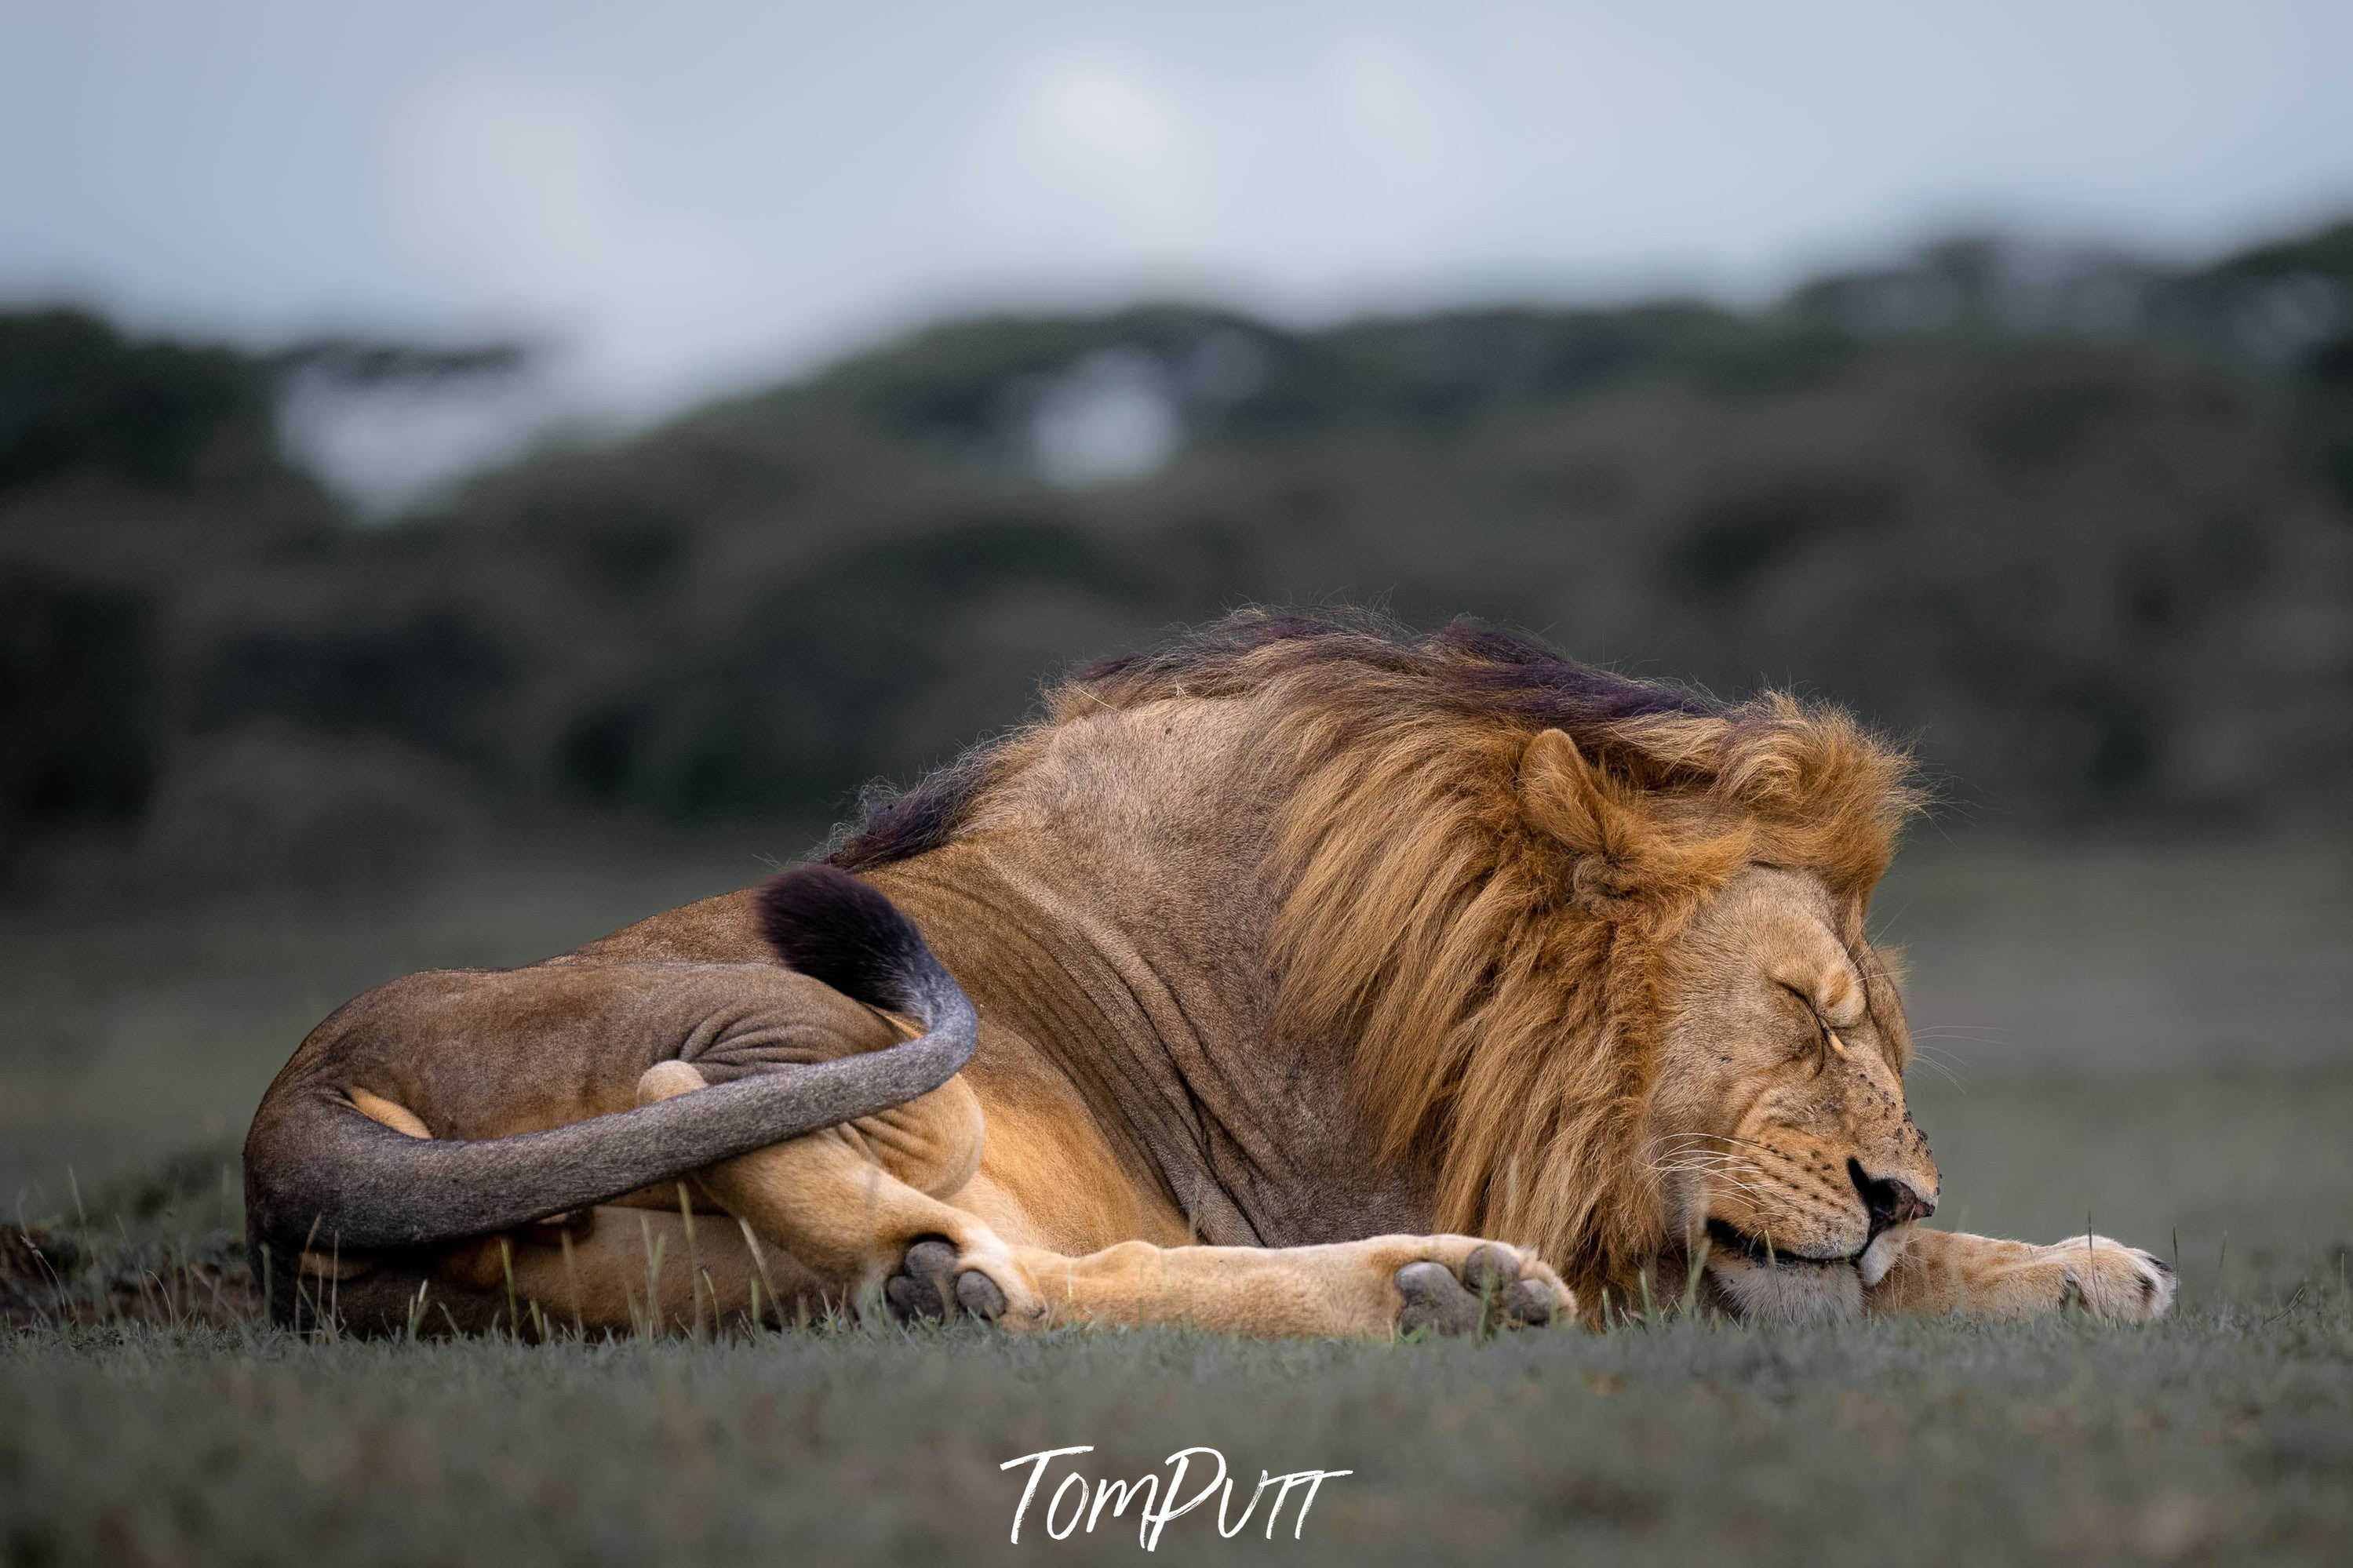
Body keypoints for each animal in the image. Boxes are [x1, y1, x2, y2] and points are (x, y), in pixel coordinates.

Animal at [248, 611, 2174, 1335]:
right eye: (1800, 1011)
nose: (1895, 1186)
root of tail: (288, 1109)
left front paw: (2087, 1269)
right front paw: (2058, 1263)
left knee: (972, 1273)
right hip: (825, 1040)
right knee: (959, 1239)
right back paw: (1439, 1290)